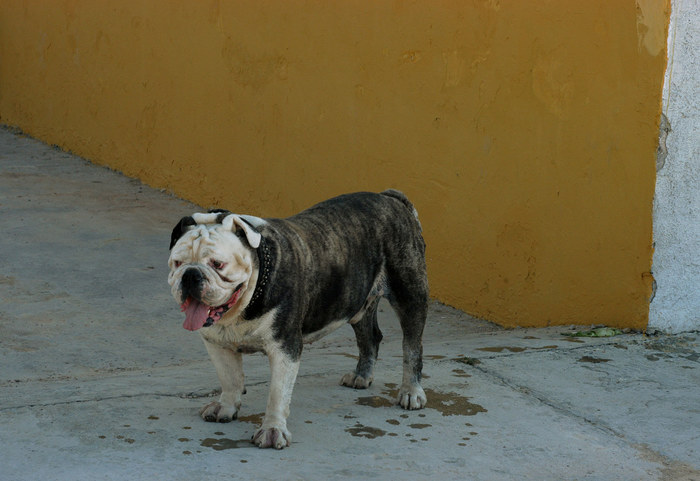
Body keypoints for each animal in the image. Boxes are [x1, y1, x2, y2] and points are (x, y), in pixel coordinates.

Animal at [170, 189, 430, 448]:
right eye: (177, 263)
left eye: (218, 264)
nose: (190, 275)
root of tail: (390, 198)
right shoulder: (217, 344)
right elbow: (229, 378)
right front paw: (226, 407)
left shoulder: (285, 348)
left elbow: (277, 392)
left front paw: (272, 430)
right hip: (358, 304)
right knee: (370, 338)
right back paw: (361, 376)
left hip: (410, 295)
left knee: (412, 346)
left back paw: (411, 392)